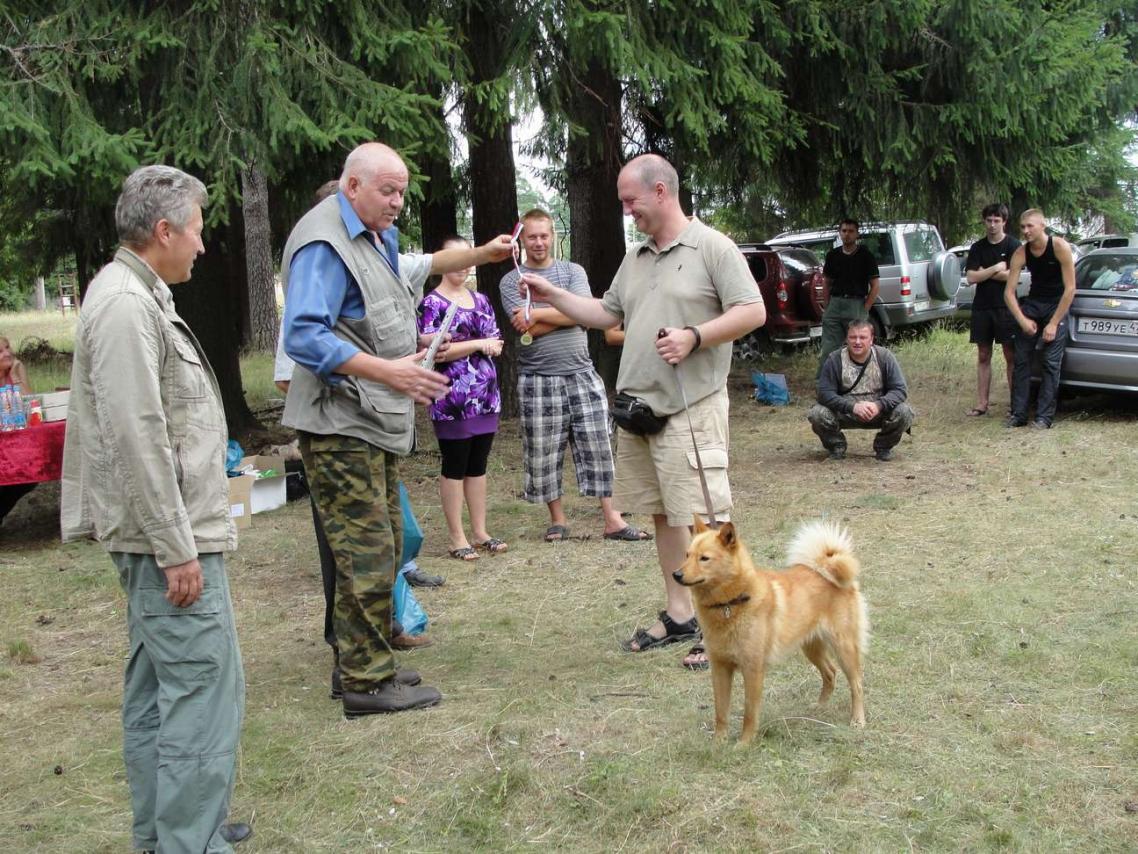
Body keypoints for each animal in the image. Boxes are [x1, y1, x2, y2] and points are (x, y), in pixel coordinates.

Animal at [674, 518, 868, 743]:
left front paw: (744, 743)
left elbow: (749, 713)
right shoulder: (720, 668)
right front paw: (718, 743)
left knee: (856, 684)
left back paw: (858, 719)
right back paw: (819, 707)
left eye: (704, 558)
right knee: (830, 673)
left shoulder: (752, 669)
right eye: (687, 555)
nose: (676, 574)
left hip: (843, 647)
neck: (730, 604)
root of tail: (827, 565)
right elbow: (720, 712)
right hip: (811, 647)